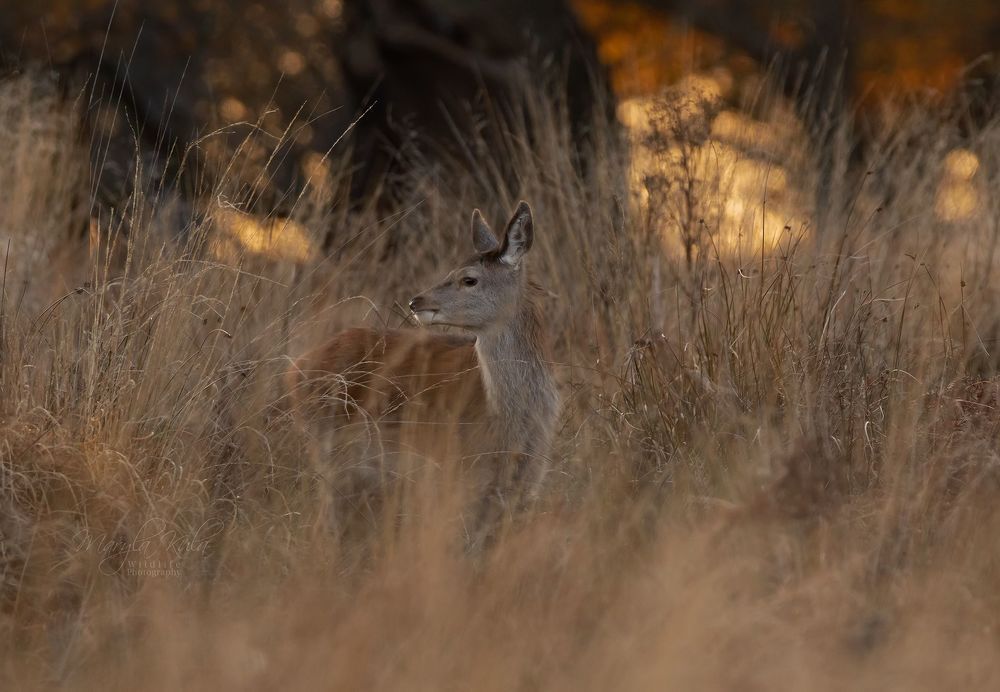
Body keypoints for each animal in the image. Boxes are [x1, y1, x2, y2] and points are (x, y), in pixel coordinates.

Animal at [287, 201, 559, 546]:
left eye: (469, 279)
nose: (416, 301)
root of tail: (296, 369)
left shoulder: (527, 482)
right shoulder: (456, 476)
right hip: (332, 453)